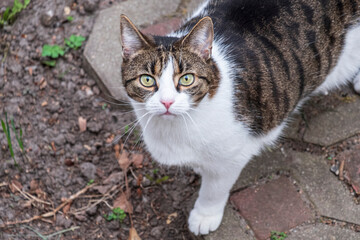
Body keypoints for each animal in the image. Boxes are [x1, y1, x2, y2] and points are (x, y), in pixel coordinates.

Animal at [119, 0, 360, 236]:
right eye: (147, 80)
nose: (167, 102)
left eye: (187, 79)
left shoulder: (231, 157)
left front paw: (204, 216)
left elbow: (214, 190)